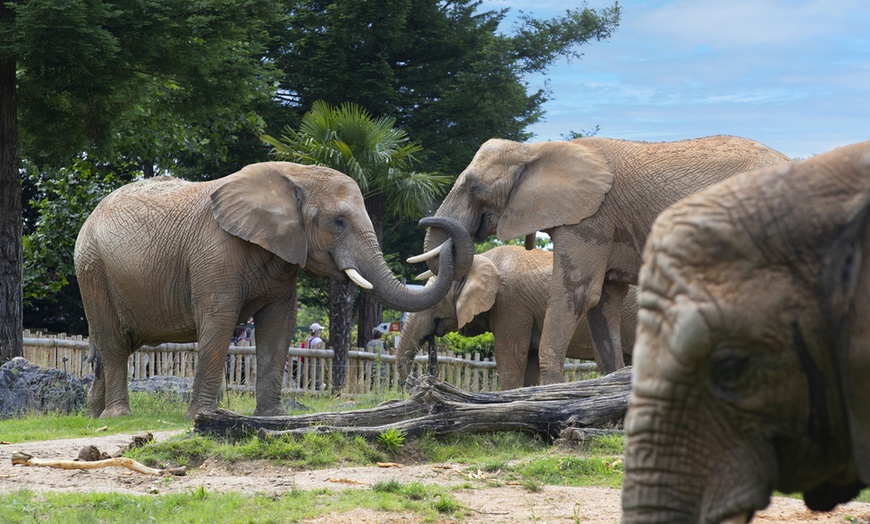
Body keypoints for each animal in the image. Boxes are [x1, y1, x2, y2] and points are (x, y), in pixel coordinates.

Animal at [76, 162, 474, 420]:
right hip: (92, 269)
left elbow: (280, 325)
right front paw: (201, 417)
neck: (293, 175)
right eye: (339, 222)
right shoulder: (214, 250)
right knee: (114, 343)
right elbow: (219, 323)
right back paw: (117, 417)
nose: (427, 218)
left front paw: (273, 418)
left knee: (114, 345)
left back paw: (92, 416)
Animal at [398, 246, 636, 388]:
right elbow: (529, 360)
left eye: (435, 302)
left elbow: (509, 354)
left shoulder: (510, 304)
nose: (416, 382)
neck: (484, 259)